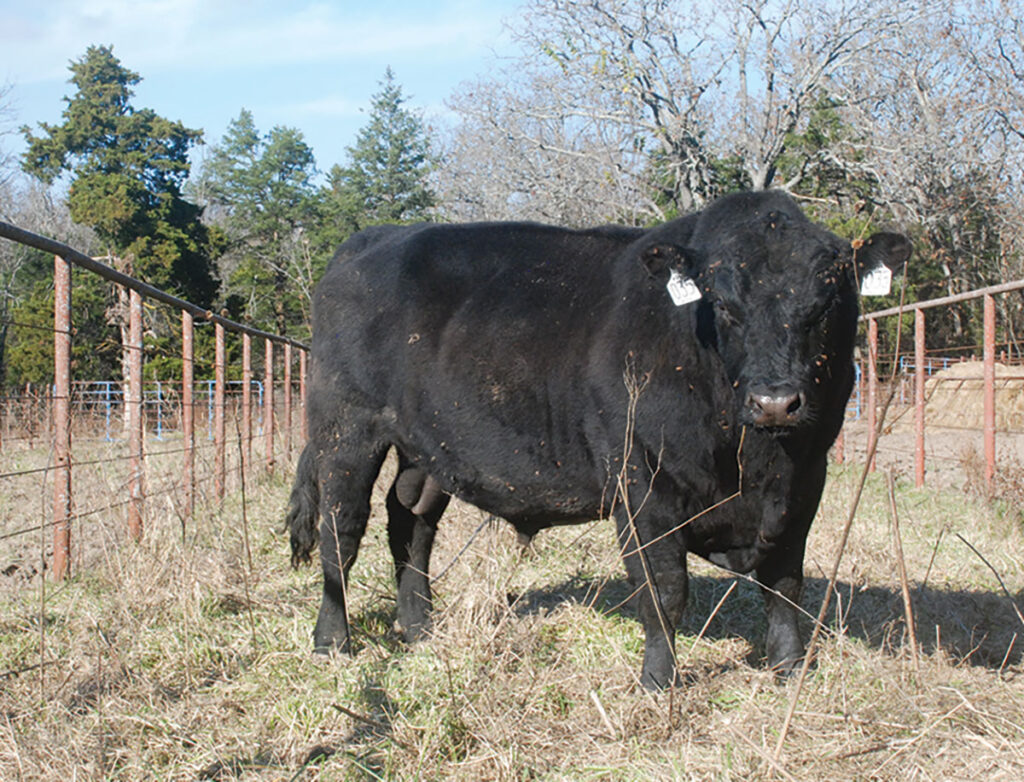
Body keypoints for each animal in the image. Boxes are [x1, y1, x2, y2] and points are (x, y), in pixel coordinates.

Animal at [288, 192, 913, 687]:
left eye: (826, 302)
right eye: (723, 304)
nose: (776, 402)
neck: (750, 463)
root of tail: (371, 239)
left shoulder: (803, 483)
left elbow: (784, 586)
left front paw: (789, 669)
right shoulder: (643, 489)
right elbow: (664, 590)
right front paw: (658, 682)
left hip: (428, 448)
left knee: (410, 524)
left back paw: (419, 628)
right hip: (345, 431)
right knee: (342, 533)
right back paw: (333, 640)